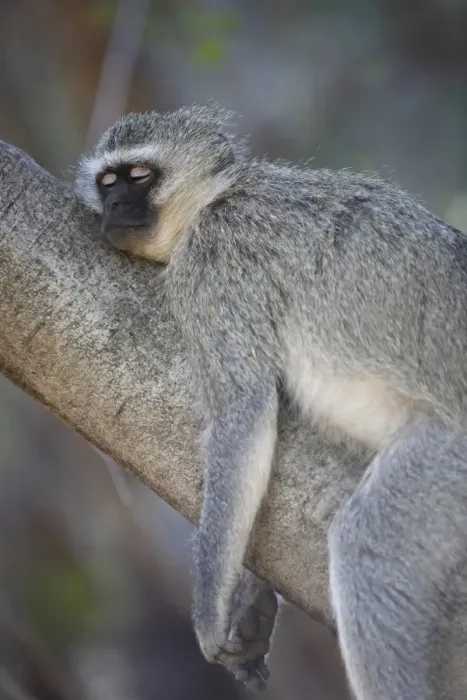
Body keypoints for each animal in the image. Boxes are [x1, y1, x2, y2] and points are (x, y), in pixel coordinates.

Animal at [75, 103, 467, 699]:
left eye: (139, 176)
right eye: (107, 182)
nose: (115, 207)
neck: (218, 196)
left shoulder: (215, 264)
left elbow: (245, 413)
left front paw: (210, 612)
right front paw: (253, 597)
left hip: (453, 458)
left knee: (369, 552)